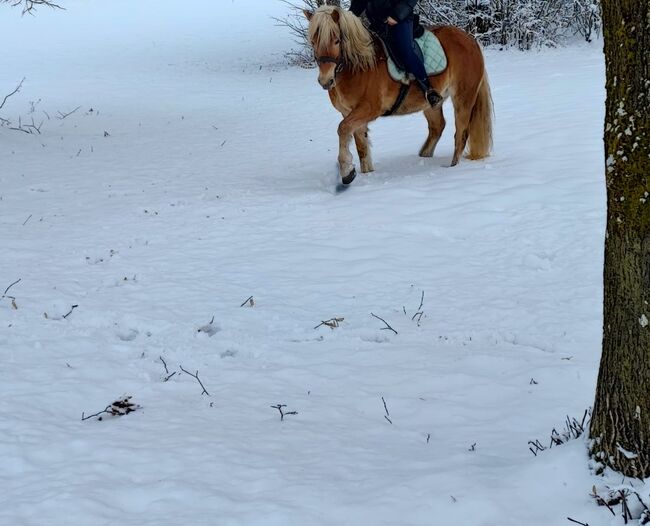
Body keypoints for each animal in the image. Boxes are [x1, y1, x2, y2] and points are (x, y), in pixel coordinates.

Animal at [304, 6, 492, 187]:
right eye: (313, 42)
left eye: (336, 40)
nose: (325, 81)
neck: (360, 67)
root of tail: (469, 39)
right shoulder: (349, 112)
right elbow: (361, 146)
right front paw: (366, 174)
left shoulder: (368, 109)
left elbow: (342, 129)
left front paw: (346, 172)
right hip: (431, 104)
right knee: (437, 126)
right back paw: (423, 157)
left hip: (463, 97)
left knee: (461, 133)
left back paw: (452, 168)